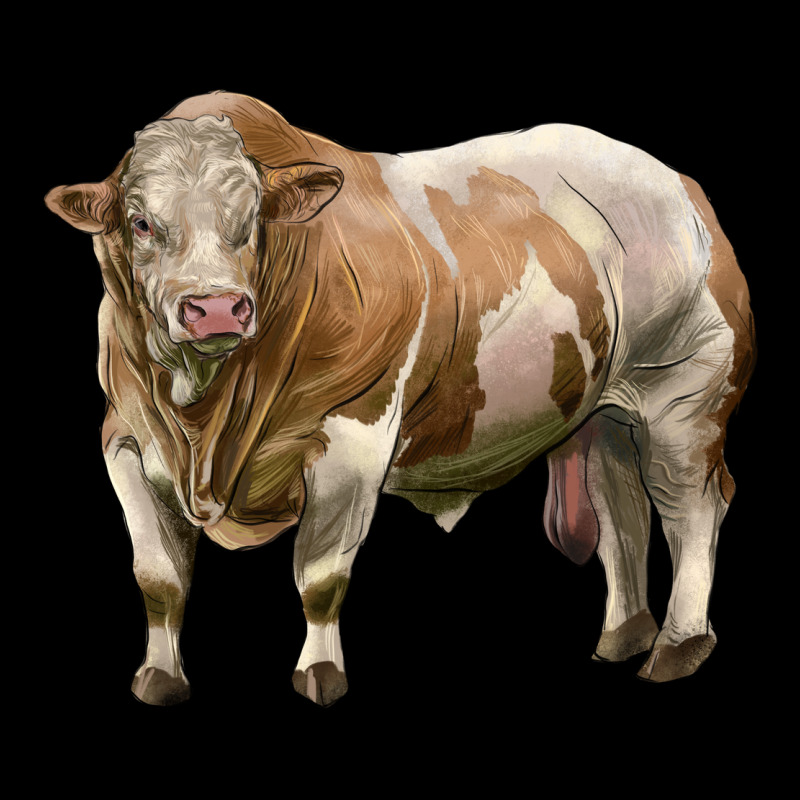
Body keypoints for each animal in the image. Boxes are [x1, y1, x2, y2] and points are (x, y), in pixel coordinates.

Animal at [45, 90, 754, 707]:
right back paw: (623, 635)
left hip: (686, 396)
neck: (206, 420)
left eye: (251, 221)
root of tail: (674, 180)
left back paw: (677, 646)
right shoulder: (126, 441)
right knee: (622, 510)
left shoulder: (354, 435)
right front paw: (158, 679)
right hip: (604, 415)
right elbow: (159, 579)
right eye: (141, 222)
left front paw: (320, 673)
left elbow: (320, 574)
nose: (215, 308)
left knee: (689, 507)